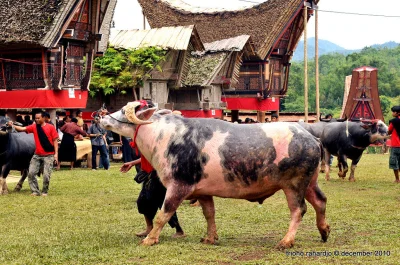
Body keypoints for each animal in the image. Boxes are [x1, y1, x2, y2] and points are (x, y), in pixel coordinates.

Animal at [101, 100, 332, 248]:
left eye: (123, 110)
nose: (101, 118)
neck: (165, 137)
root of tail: (311, 137)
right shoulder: (203, 192)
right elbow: (209, 214)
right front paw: (210, 238)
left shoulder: (178, 187)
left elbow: (162, 215)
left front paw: (149, 239)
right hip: (310, 182)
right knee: (320, 201)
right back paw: (324, 231)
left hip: (294, 185)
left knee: (299, 210)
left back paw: (286, 241)